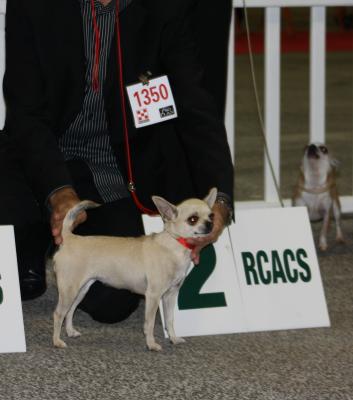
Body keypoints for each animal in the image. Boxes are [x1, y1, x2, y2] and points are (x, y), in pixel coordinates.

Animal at [51, 188, 216, 350]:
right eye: (193, 219)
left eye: (211, 215)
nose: (210, 224)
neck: (175, 244)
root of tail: (69, 238)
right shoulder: (153, 296)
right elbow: (149, 323)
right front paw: (151, 344)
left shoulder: (170, 294)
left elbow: (170, 320)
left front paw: (174, 339)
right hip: (69, 290)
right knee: (58, 314)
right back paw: (57, 341)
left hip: (81, 290)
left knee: (70, 311)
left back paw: (70, 332)